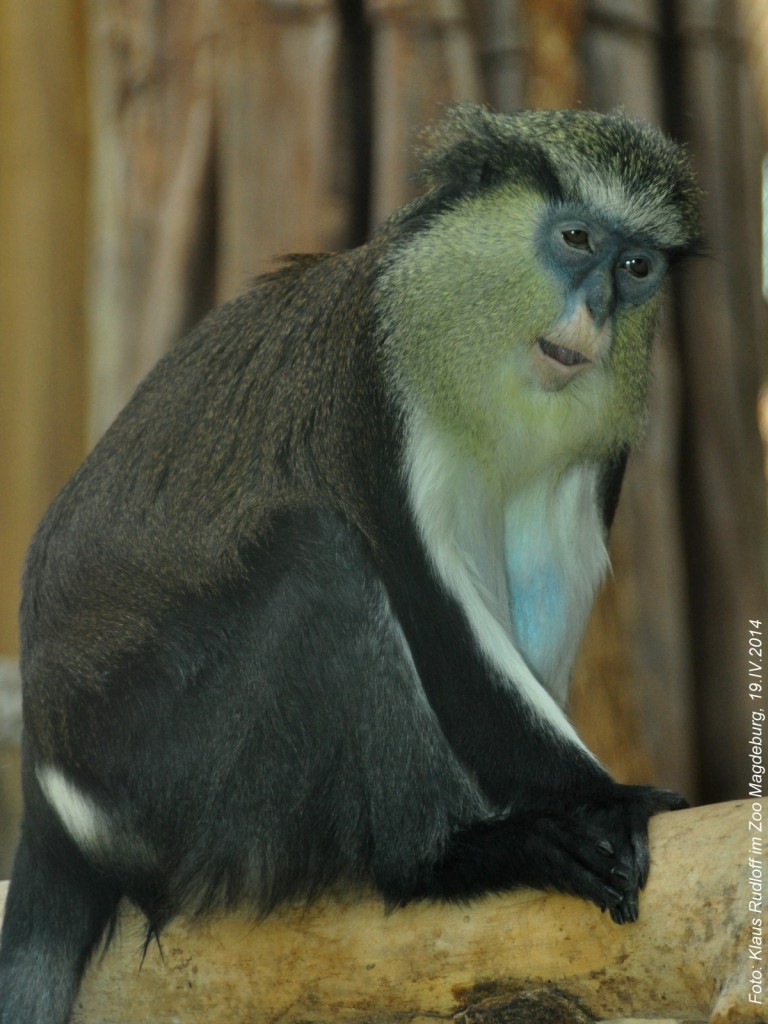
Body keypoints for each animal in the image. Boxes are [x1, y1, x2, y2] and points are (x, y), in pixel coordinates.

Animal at [0, 105, 704, 1024]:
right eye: (576, 238)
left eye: (635, 267)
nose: (597, 312)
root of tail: (50, 800)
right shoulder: (371, 396)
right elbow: (441, 624)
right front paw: (605, 801)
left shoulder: (592, 458)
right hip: (164, 781)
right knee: (319, 561)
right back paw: (446, 857)